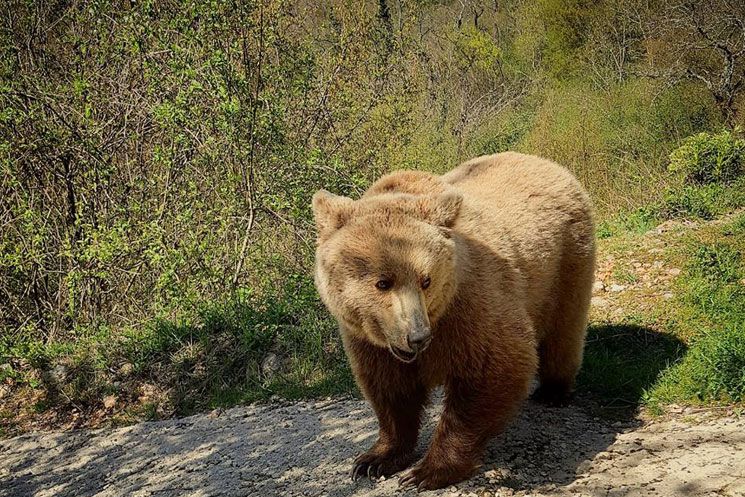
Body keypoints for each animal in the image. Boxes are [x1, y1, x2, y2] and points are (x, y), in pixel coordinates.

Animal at [310, 151, 596, 488]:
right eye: (383, 282)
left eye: (426, 280)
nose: (417, 336)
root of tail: (546, 162)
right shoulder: (370, 341)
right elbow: (389, 390)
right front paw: (374, 459)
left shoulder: (469, 308)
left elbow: (494, 369)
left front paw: (425, 471)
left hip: (565, 261)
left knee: (563, 330)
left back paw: (553, 390)